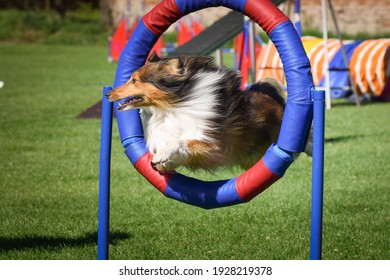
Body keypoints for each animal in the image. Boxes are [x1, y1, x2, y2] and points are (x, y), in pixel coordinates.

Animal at [105, 51, 310, 172]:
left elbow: (183, 141)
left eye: (134, 80)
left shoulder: (215, 146)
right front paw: (162, 161)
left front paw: (163, 154)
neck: (170, 108)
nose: (107, 93)